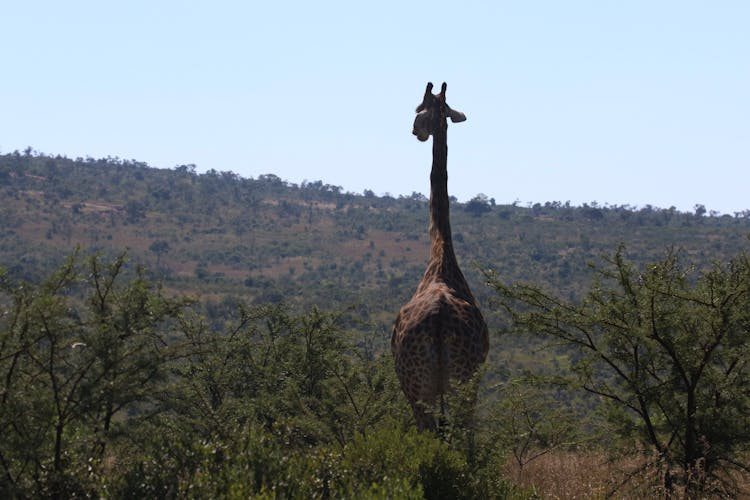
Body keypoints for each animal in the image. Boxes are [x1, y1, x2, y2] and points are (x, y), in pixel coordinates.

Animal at [390, 83, 490, 434]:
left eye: (418, 109)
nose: (415, 131)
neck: (441, 254)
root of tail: (438, 319)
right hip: (456, 385)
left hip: (423, 389)